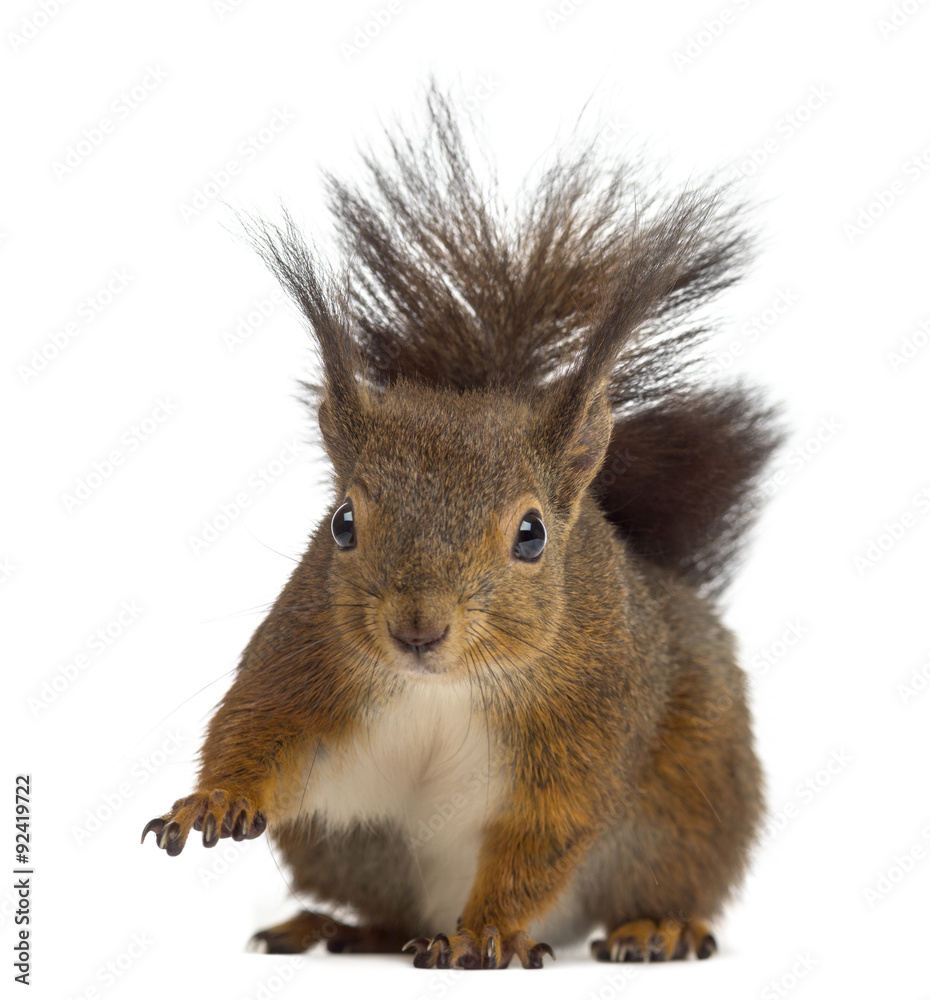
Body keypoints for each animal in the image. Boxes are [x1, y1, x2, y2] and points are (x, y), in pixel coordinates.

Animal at [142, 88, 781, 970]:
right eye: (342, 522)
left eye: (532, 534)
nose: (418, 629)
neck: (440, 687)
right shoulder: (302, 658)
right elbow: (254, 730)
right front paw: (211, 800)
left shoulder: (585, 723)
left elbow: (543, 837)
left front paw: (482, 935)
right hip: (356, 847)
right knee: (383, 906)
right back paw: (338, 926)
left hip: (691, 803)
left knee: (665, 879)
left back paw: (657, 927)